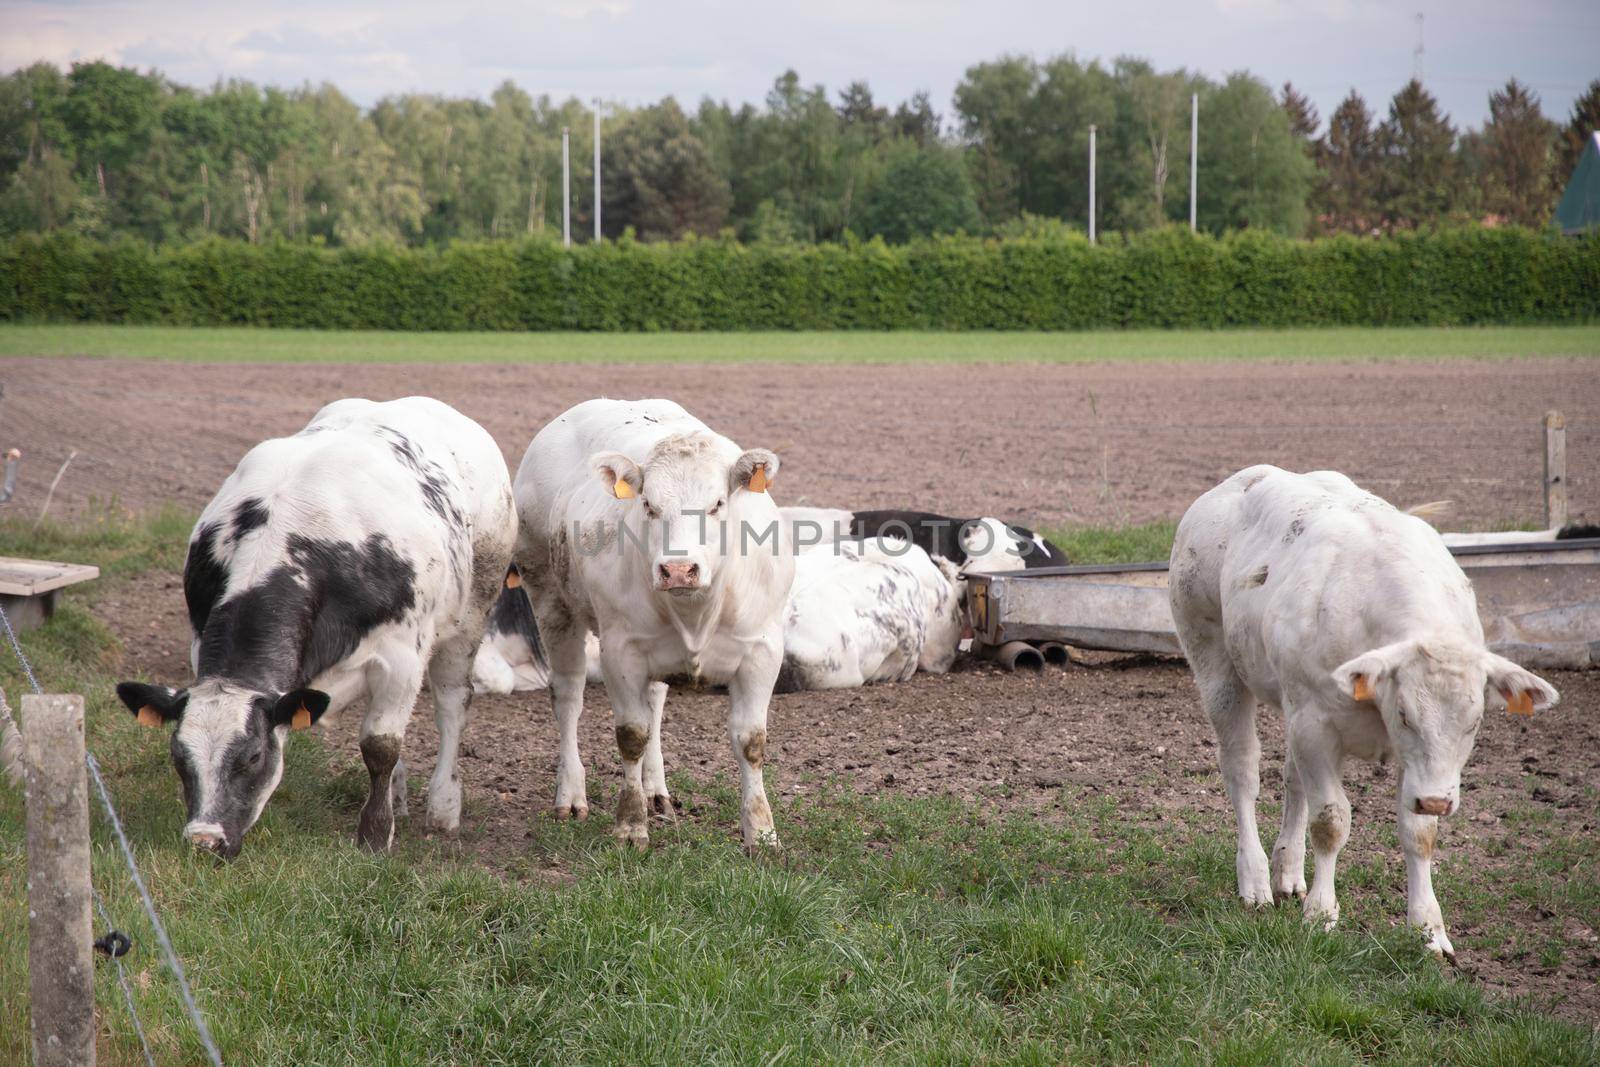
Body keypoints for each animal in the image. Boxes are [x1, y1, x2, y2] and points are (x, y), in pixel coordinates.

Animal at [116, 398, 512, 857]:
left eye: (252, 756)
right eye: (179, 756)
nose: (204, 840)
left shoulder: (402, 657)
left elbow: (380, 744)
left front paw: (374, 835)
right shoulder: (200, 641)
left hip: (474, 609)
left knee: (451, 705)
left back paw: (444, 804)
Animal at [512, 398, 793, 851]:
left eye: (717, 504)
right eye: (648, 505)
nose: (678, 570)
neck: (696, 611)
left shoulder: (762, 651)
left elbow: (750, 741)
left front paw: (762, 834)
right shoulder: (620, 651)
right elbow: (632, 735)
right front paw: (630, 826)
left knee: (656, 701)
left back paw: (655, 790)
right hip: (549, 599)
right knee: (568, 697)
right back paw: (570, 794)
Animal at [1171, 467, 1555, 959]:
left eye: (1474, 723)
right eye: (1406, 714)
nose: (1438, 800)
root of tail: (1235, 483)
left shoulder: (1402, 759)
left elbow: (1419, 832)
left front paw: (1429, 929)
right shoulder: (1315, 723)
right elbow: (1331, 820)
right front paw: (1321, 914)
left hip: (1288, 703)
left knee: (1292, 778)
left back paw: (1287, 872)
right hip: (1214, 660)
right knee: (1242, 771)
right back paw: (1254, 879)